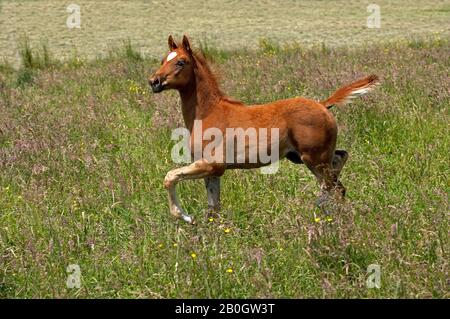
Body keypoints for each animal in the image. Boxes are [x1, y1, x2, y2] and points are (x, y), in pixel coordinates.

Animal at [149, 35, 380, 225]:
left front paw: (185, 216)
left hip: (314, 158)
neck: (208, 112)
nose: (154, 81)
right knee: (340, 164)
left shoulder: (213, 165)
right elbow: (213, 207)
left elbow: (170, 177)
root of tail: (323, 104)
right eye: (163, 60)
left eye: (180, 62)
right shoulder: (211, 170)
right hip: (305, 157)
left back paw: (322, 208)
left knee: (336, 187)